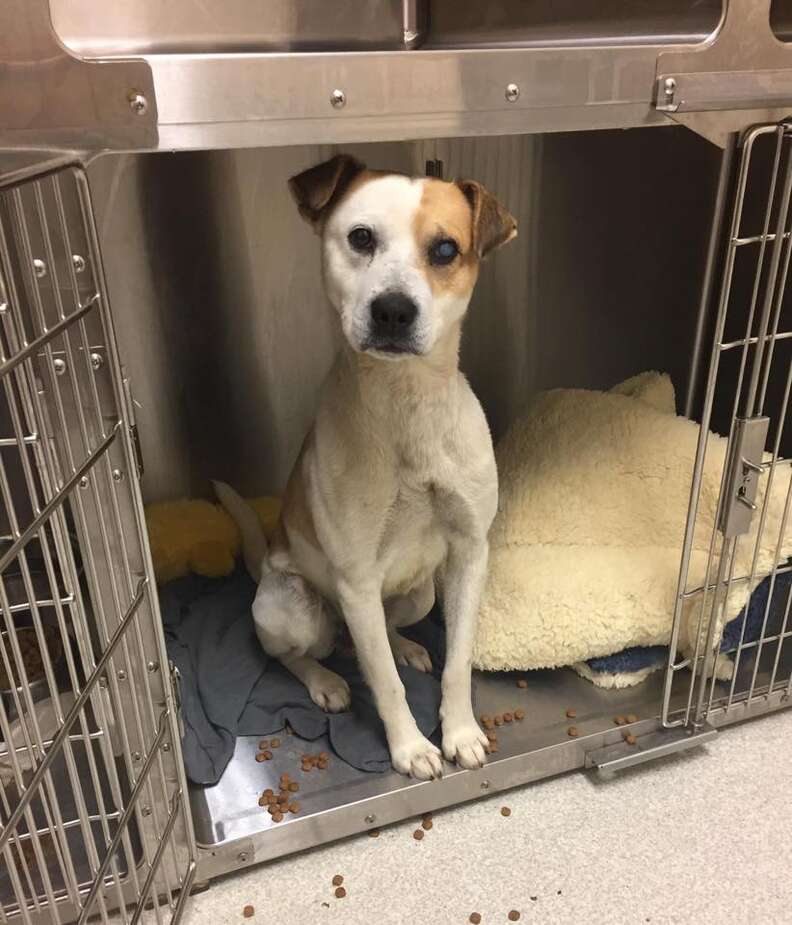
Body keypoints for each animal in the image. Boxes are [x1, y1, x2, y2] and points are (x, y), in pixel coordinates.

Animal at [217, 153, 516, 780]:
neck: (407, 406)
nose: (393, 310)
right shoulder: (354, 580)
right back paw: (326, 681)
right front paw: (411, 748)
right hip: (296, 607)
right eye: (360, 238)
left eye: (446, 249)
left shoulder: (470, 552)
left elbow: (457, 662)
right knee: (295, 654)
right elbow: (384, 686)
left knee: (382, 632)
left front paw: (460, 732)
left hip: (419, 594)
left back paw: (404, 646)